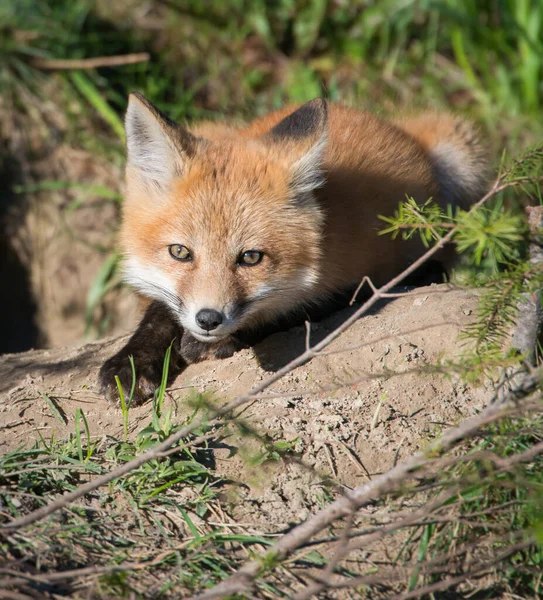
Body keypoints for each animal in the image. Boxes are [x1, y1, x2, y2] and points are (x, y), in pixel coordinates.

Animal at [99, 94, 488, 404]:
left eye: (251, 258)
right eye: (180, 252)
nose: (208, 319)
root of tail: (387, 123)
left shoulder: (357, 283)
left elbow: (291, 310)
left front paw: (209, 343)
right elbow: (159, 313)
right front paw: (132, 362)